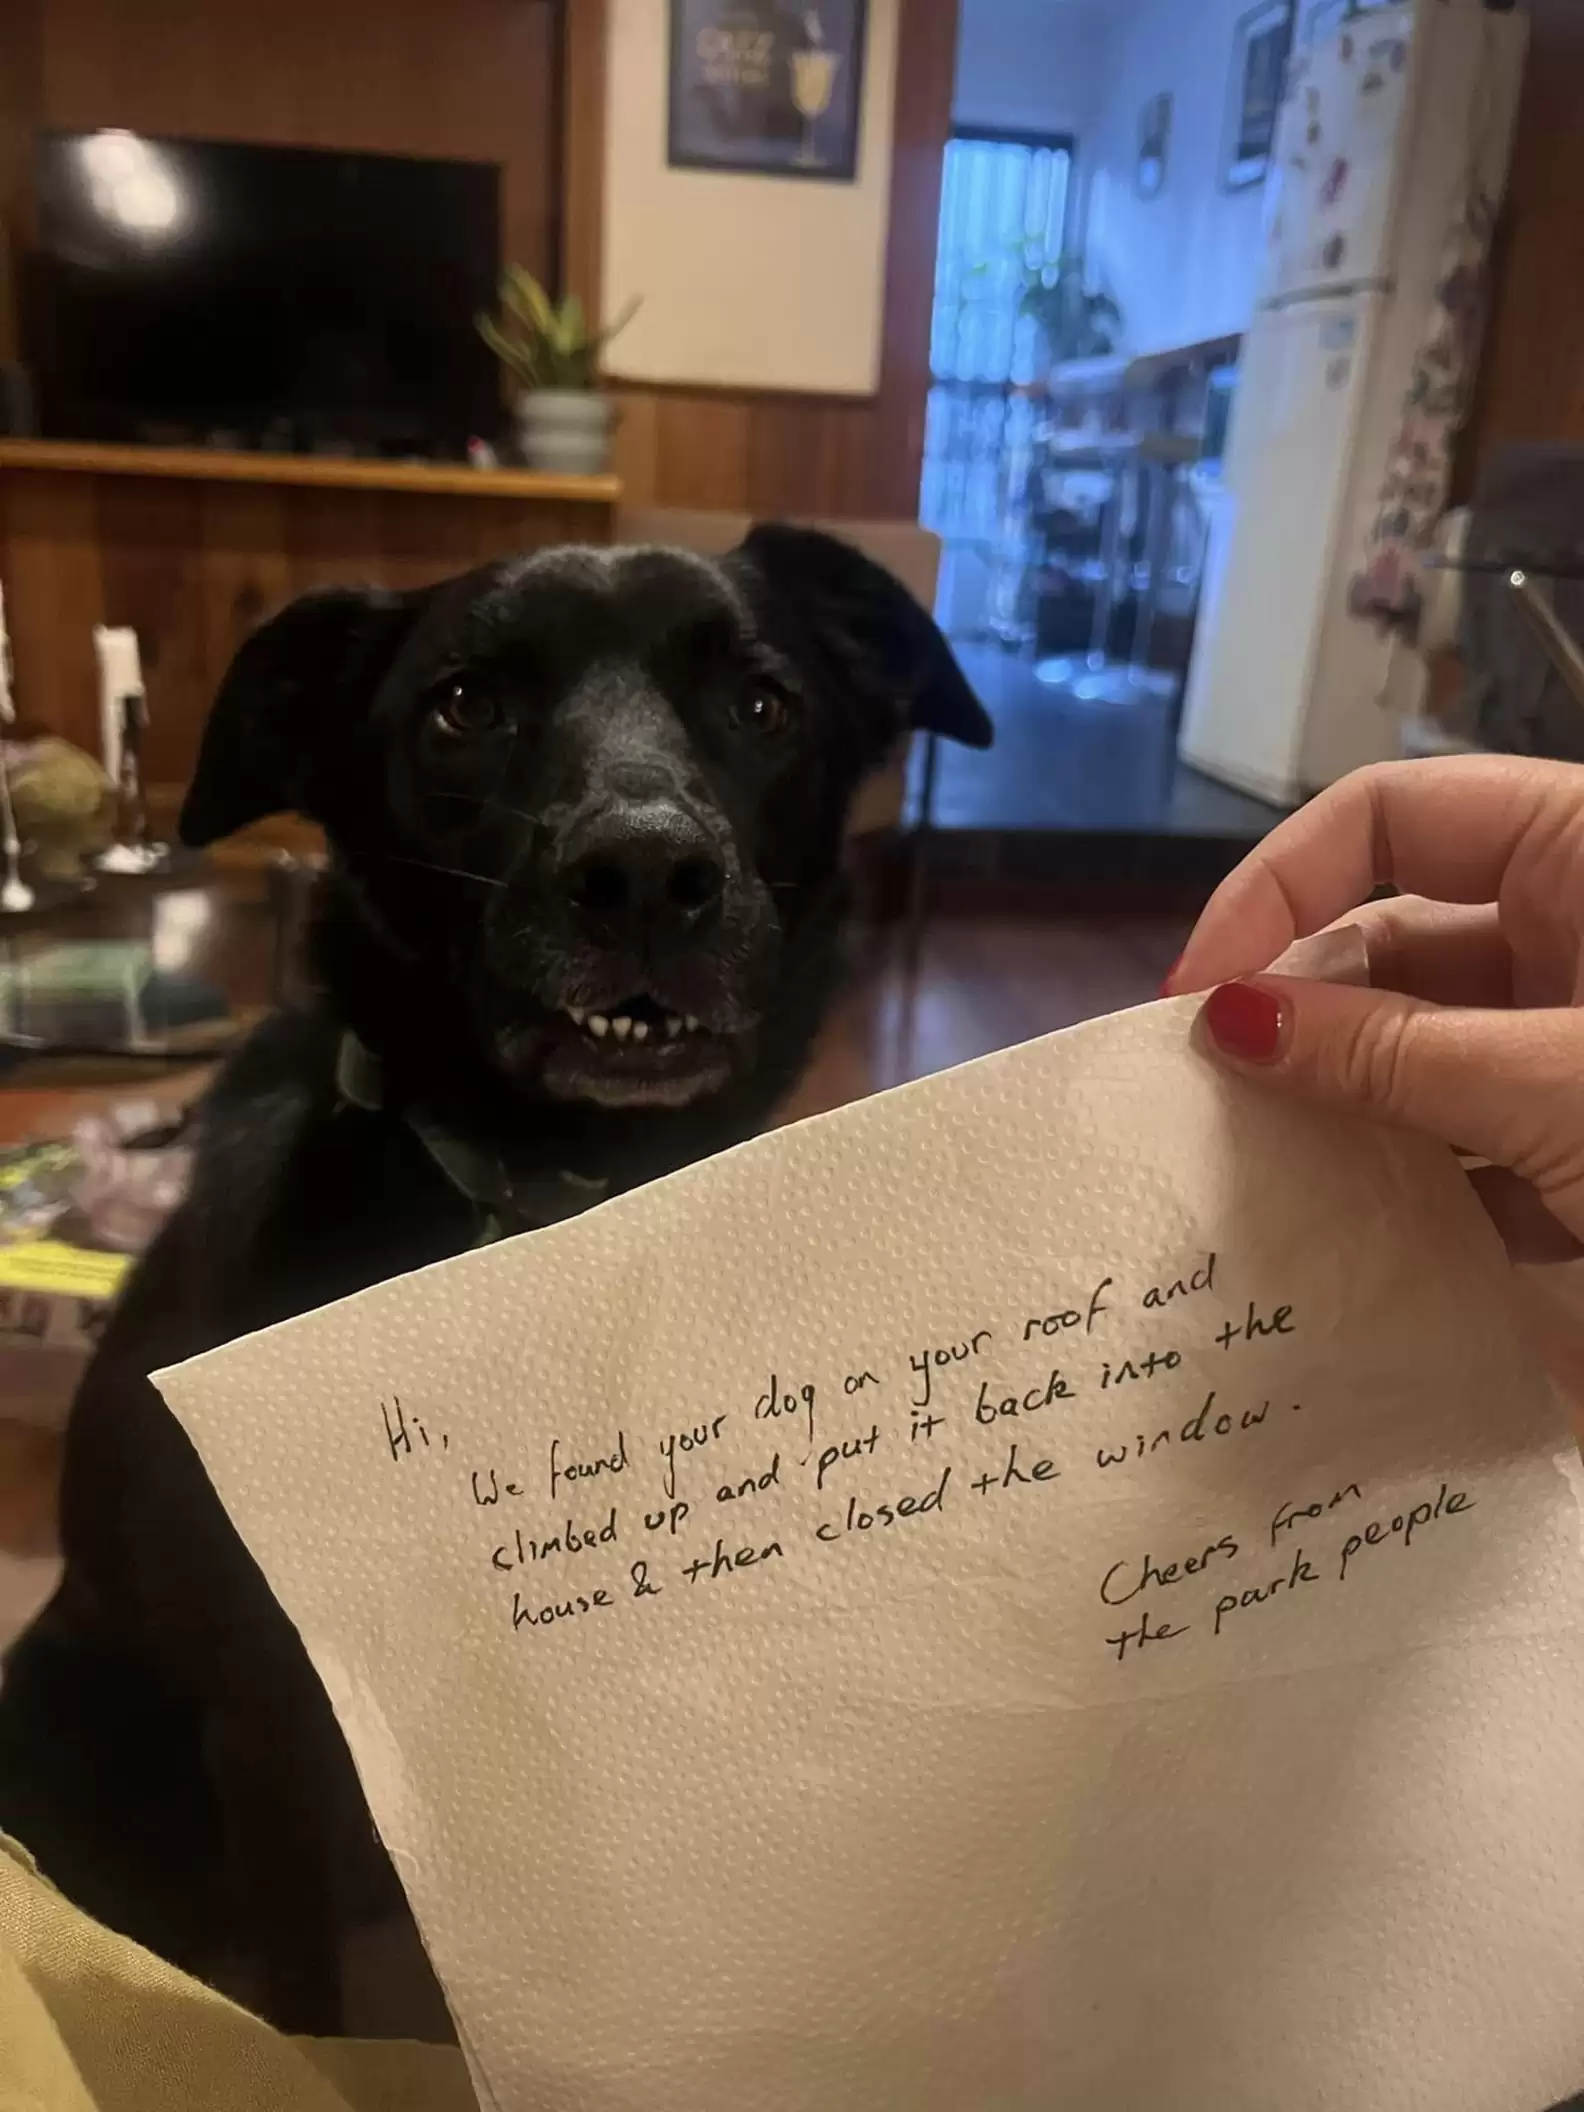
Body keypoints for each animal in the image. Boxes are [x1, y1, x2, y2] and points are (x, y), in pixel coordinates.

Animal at [0, 523, 992, 2027]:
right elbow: (306, 1999)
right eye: (464, 707)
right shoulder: (270, 1725)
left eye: (763, 703)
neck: (561, 1197)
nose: (646, 876)